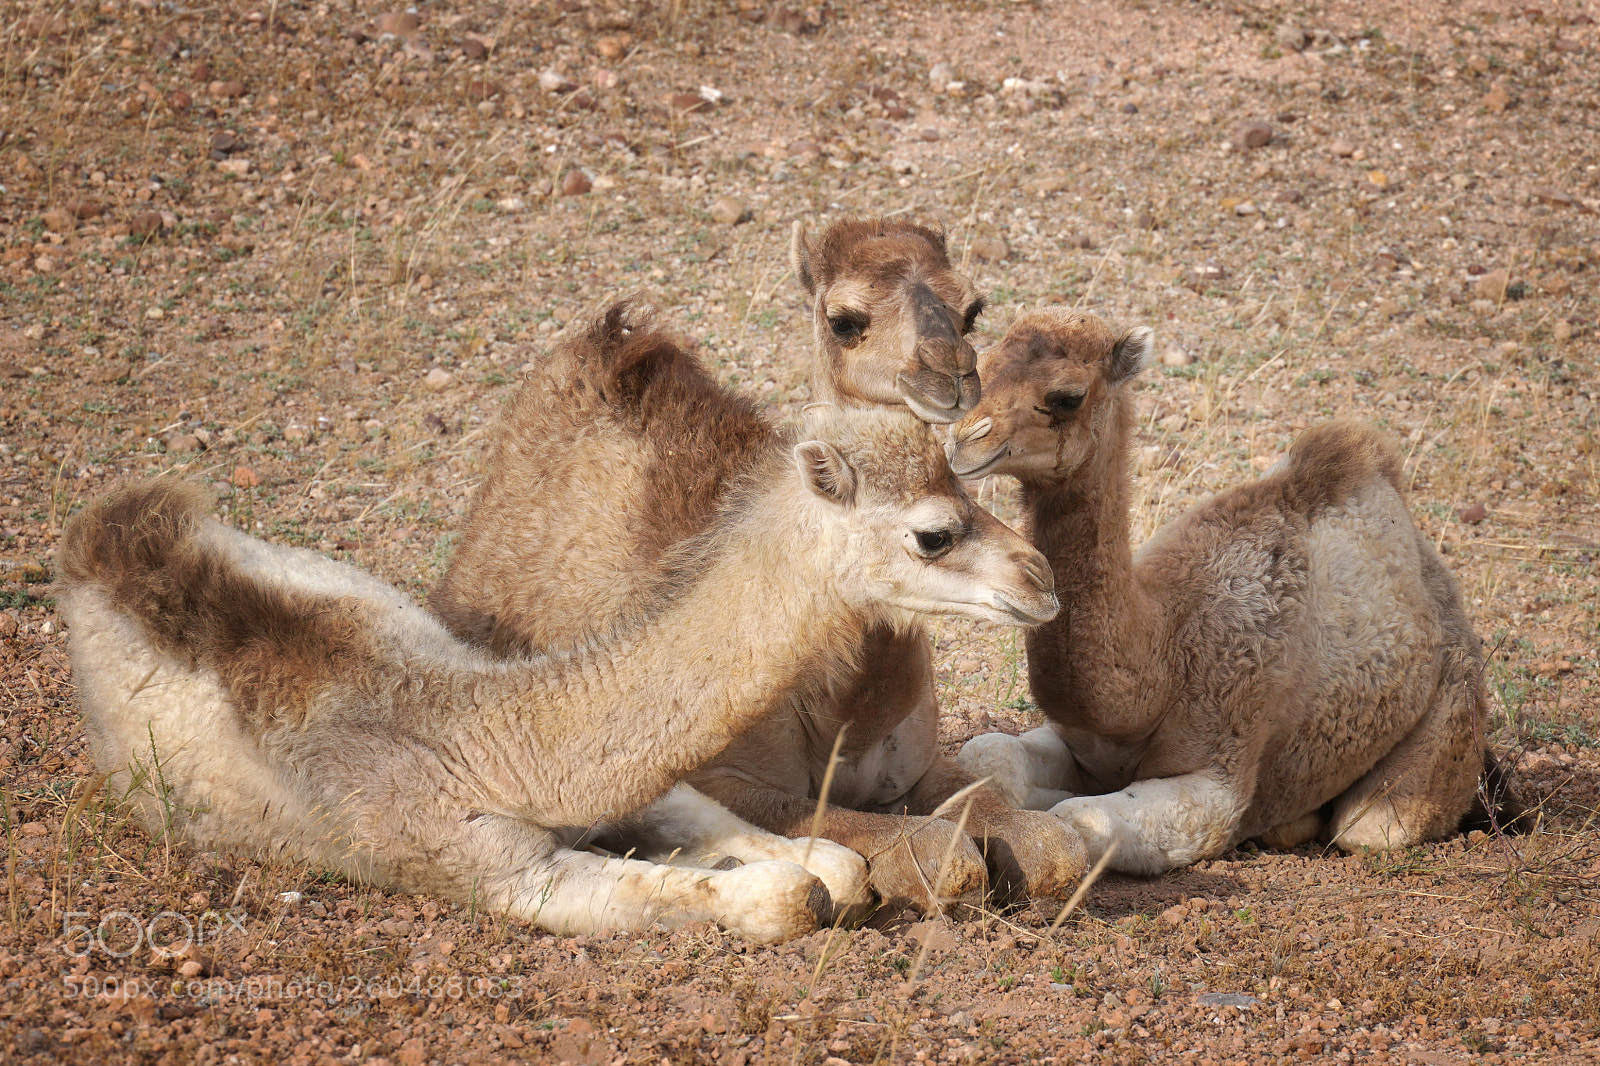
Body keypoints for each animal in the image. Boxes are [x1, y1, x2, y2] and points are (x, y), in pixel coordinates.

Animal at [60, 350, 1062, 942]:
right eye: (934, 532)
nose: (1041, 579)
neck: (485, 739)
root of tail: (96, 542)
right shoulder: (496, 873)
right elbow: (780, 894)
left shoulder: (646, 785)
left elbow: (818, 859)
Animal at [429, 223, 1087, 910]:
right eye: (843, 319)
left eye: (972, 307)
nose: (951, 373)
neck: (844, 709)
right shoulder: (722, 776)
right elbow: (931, 854)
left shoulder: (921, 764)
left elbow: (1047, 844)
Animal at [950, 309, 1514, 875]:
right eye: (982, 365)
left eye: (1068, 396)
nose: (960, 442)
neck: (1166, 661)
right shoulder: (1083, 744)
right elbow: (988, 754)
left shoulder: (1222, 768)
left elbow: (1083, 818)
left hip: (1454, 707)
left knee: (1373, 827)